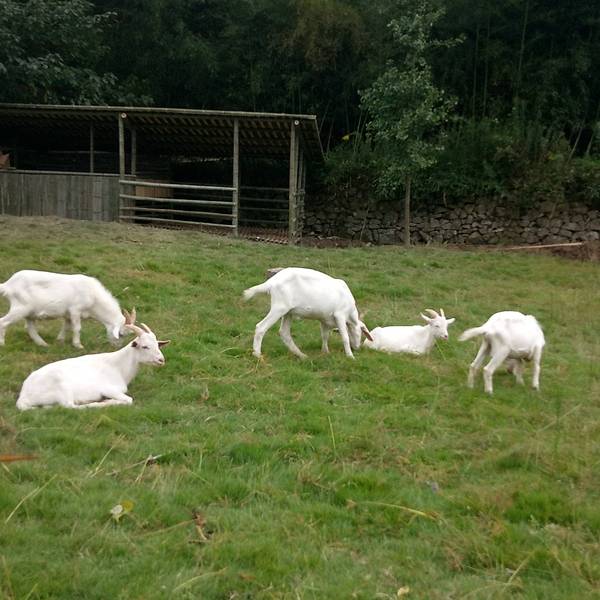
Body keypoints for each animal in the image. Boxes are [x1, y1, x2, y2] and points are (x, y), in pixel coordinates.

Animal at [16, 309, 170, 410]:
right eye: (145, 346)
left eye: (157, 345)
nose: (161, 360)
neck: (118, 367)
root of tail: (23, 397)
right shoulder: (109, 388)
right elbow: (129, 399)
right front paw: (109, 401)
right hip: (62, 388)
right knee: (69, 406)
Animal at [242, 267, 372, 359]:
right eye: (361, 333)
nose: (356, 348)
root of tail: (272, 282)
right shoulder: (339, 315)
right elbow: (344, 337)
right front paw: (350, 356)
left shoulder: (324, 320)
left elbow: (325, 335)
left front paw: (325, 351)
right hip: (279, 308)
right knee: (261, 327)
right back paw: (257, 354)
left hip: (288, 312)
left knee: (284, 333)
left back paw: (301, 355)